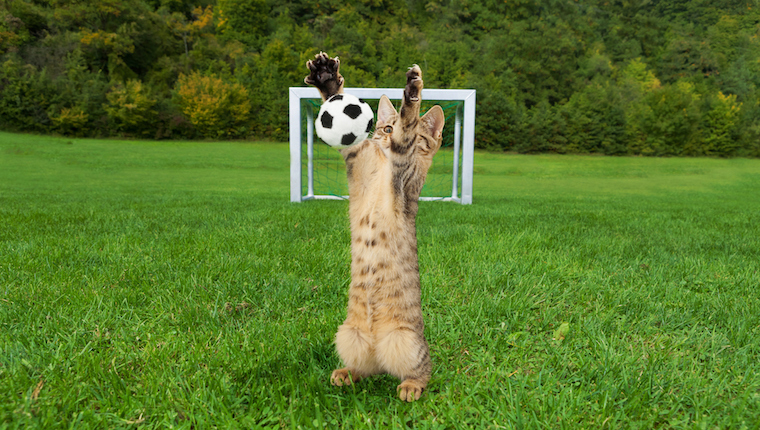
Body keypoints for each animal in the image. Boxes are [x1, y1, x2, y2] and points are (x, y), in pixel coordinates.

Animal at [304, 52, 446, 402]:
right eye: (384, 126)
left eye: (421, 137)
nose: (385, 134)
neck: (382, 165)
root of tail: (378, 350)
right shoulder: (355, 157)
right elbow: (348, 133)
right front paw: (328, 80)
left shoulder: (403, 171)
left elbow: (407, 131)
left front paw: (412, 93)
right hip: (347, 334)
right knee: (366, 369)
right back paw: (346, 372)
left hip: (406, 341)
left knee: (423, 370)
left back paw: (410, 386)